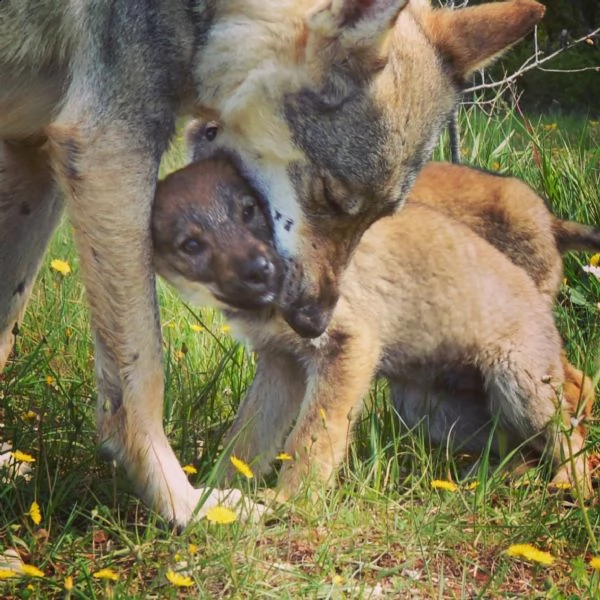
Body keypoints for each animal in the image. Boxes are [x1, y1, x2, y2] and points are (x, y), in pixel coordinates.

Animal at [154, 157, 596, 500]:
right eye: (191, 245)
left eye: (248, 211)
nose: (259, 272)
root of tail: (550, 220)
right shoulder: (281, 364)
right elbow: (246, 439)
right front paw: (216, 497)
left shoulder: (345, 347)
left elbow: (312, 439)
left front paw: (289, 500)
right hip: (428, 411)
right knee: (517, 444)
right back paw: (489, 480)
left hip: (519, 384)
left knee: (569, 434)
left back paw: (569, 484)